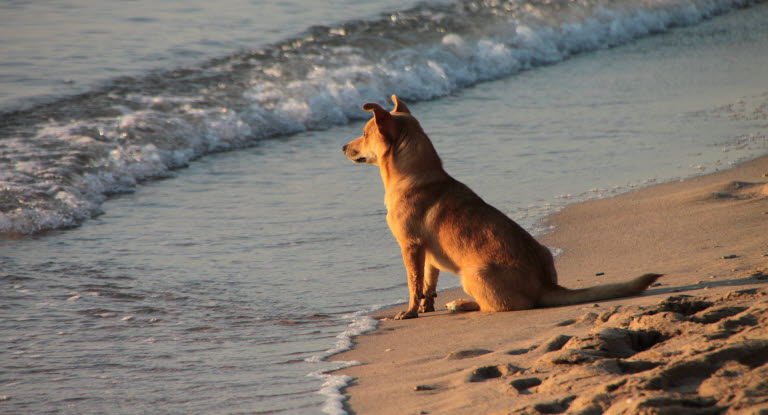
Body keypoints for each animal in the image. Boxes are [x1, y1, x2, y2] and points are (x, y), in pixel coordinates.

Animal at [342, 96, 660, 320]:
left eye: (365, 133)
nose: (343, 147)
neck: (414, 174)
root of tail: (545, 286)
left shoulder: (410, 247)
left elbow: (413, 284)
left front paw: (409, 312)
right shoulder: (427, 253)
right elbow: (428, 283)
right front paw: (425, 307)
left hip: (472, 274)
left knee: (495, 307)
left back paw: (461, 303)